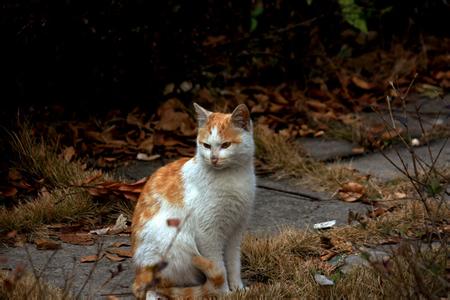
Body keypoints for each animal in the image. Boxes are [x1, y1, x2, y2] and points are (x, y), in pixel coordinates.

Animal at [132, 102, 255, 298]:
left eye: (226, 145)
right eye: (206, 145)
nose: (213, 158)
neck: (232, 177)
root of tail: (139, 273)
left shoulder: (236, 230)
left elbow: (233, 263)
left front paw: (238, 288)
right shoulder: (207, 233)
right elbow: (219, 267)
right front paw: (225, 293)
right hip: (177, 244)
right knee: (155, 289)